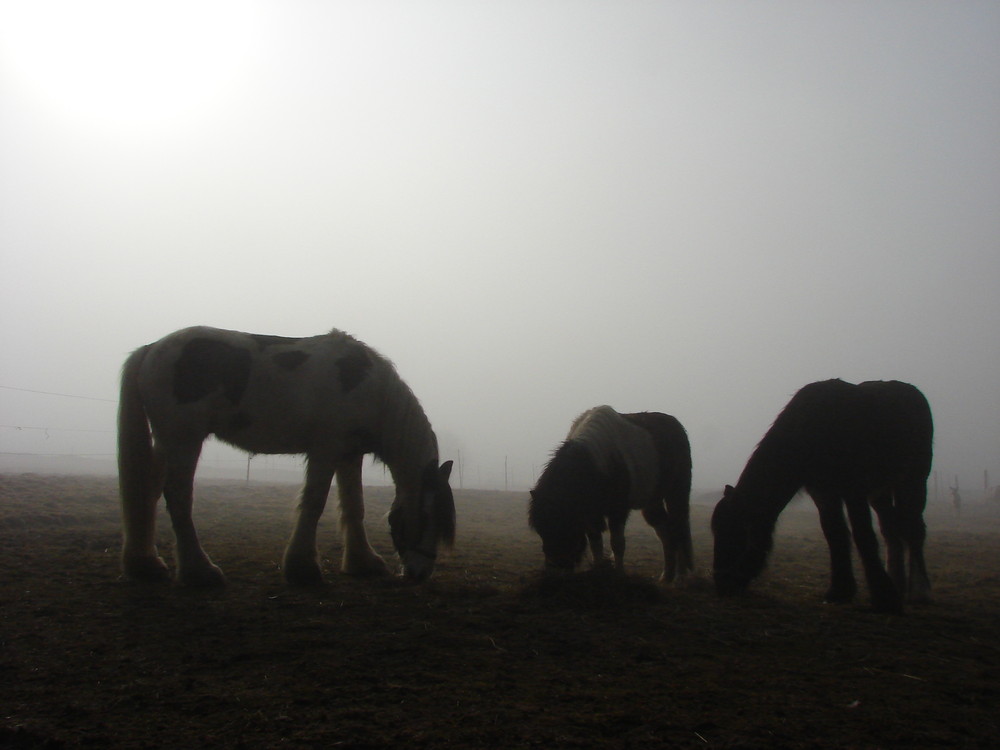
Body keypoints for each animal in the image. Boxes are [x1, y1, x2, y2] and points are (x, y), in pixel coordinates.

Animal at [116, 326, 454, 592]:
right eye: (427, 516)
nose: (421, 573)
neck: (368, 387)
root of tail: (150, 349)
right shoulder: (325, 449)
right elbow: (314, 503)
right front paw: (302, 569)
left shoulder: (349, 454)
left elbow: (353, 507)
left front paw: (363, 562)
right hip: (184, 439)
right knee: (177, 497)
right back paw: (199, 571)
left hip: (166, 442)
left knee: (147, 493)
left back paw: (145, 564)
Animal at [528, 408, 692, 584]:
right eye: (541, 531)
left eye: (562, 526)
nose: (554, 572)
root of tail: (677, 426)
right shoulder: (591, 514)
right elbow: (596, 544)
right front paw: (598, 572)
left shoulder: (618, 511)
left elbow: (617, 544)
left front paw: (619, 574)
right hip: (652, 501)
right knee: (665, 532)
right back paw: (666, 576)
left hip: (677, 494)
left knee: (678, 528)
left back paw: (680, 576)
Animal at [712, 378, 928, 612]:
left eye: (737, 533)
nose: (721, 583)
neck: (812, 429)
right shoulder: (824, 493)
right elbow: (835, 534)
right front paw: (841, 591)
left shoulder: (854, 491)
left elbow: (864, 536)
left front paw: (884, 598)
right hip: (880, 493)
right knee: (891, 531)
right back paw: (898, 583)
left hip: (913, 481)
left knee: (913, 530)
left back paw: (919, 592)